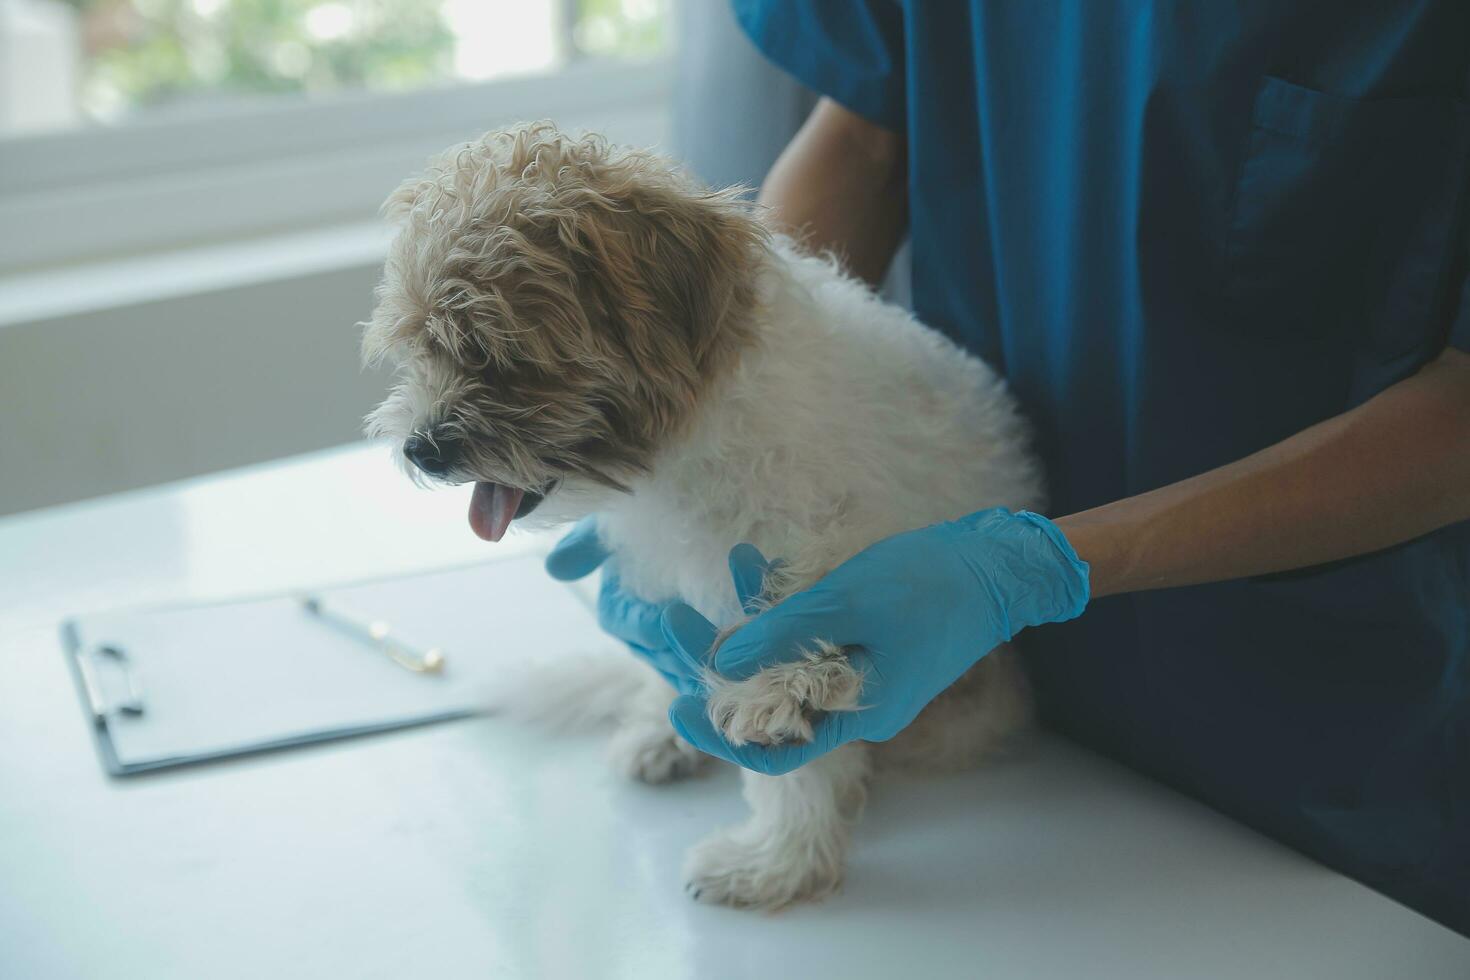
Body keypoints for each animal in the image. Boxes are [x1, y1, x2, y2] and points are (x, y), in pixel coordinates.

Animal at [367, 124, 1046, 910]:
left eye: (491, 351)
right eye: (418, 345)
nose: (420, 448)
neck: (686, 452)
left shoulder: (821, 559)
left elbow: (797, 745)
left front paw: (775, 861)